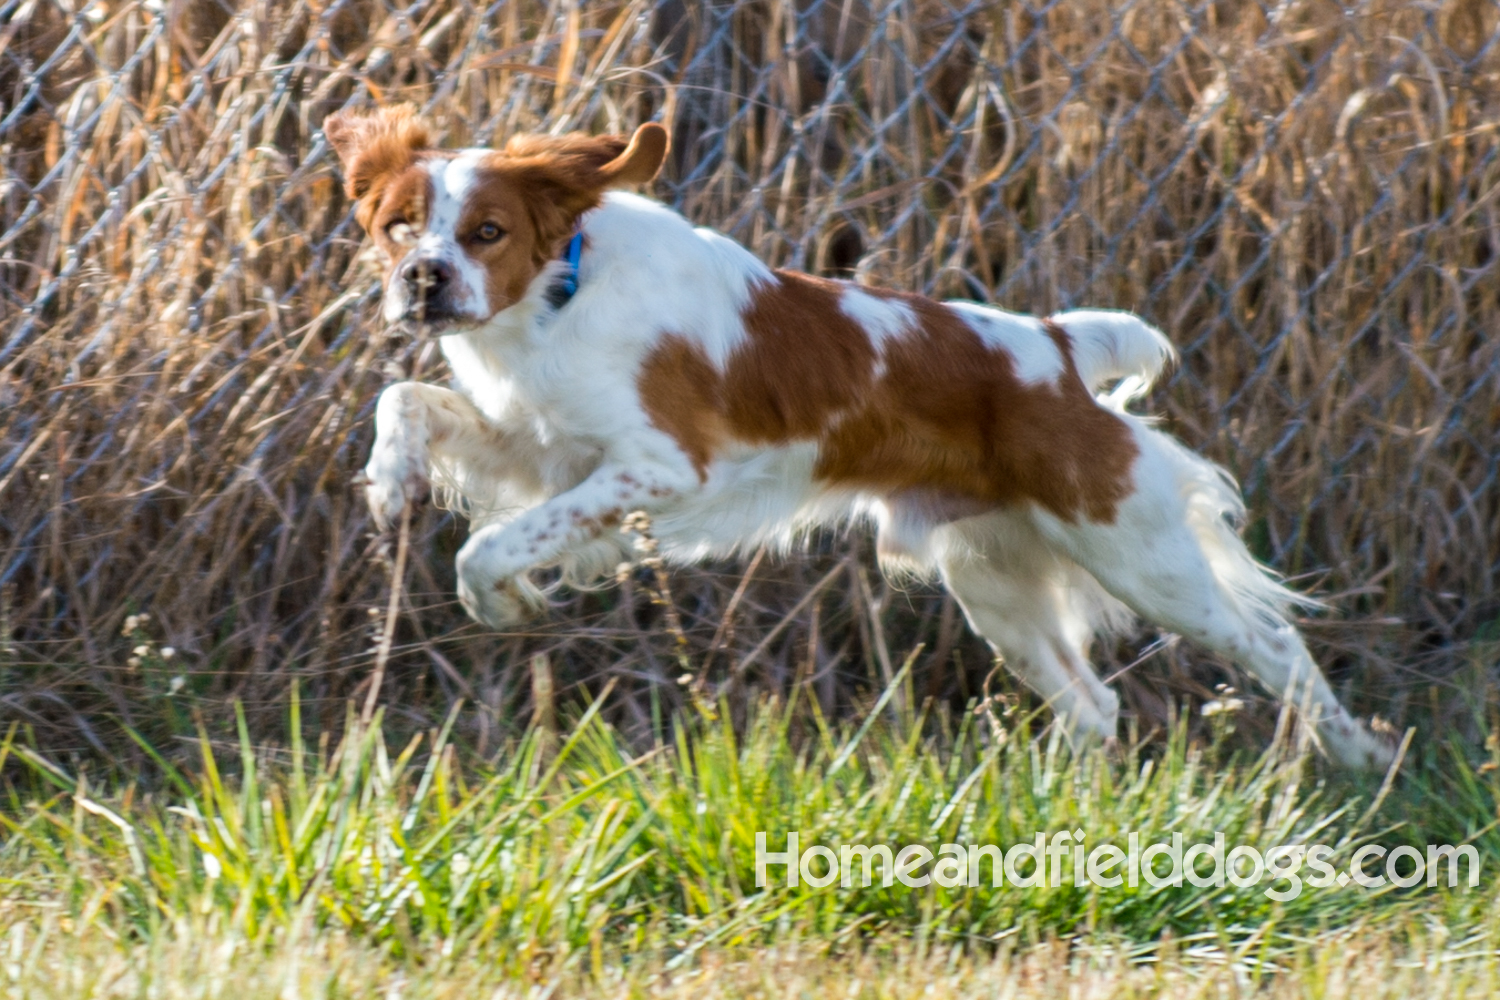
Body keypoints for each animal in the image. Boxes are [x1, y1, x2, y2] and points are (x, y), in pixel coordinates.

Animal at [322, 107, 1386, 767]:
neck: (554, 300)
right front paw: (390, 481)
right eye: (397, 225)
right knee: (1096, 707)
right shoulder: (533, 444)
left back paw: (1363, 755)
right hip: (992, 581)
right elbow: (407, 402)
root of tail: (1054, 346)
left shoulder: (659, 467)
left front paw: (502, 600)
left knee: (1274, 644)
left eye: (488, 232)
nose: (423, 280)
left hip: (1136, 552)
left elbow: (492, 543)